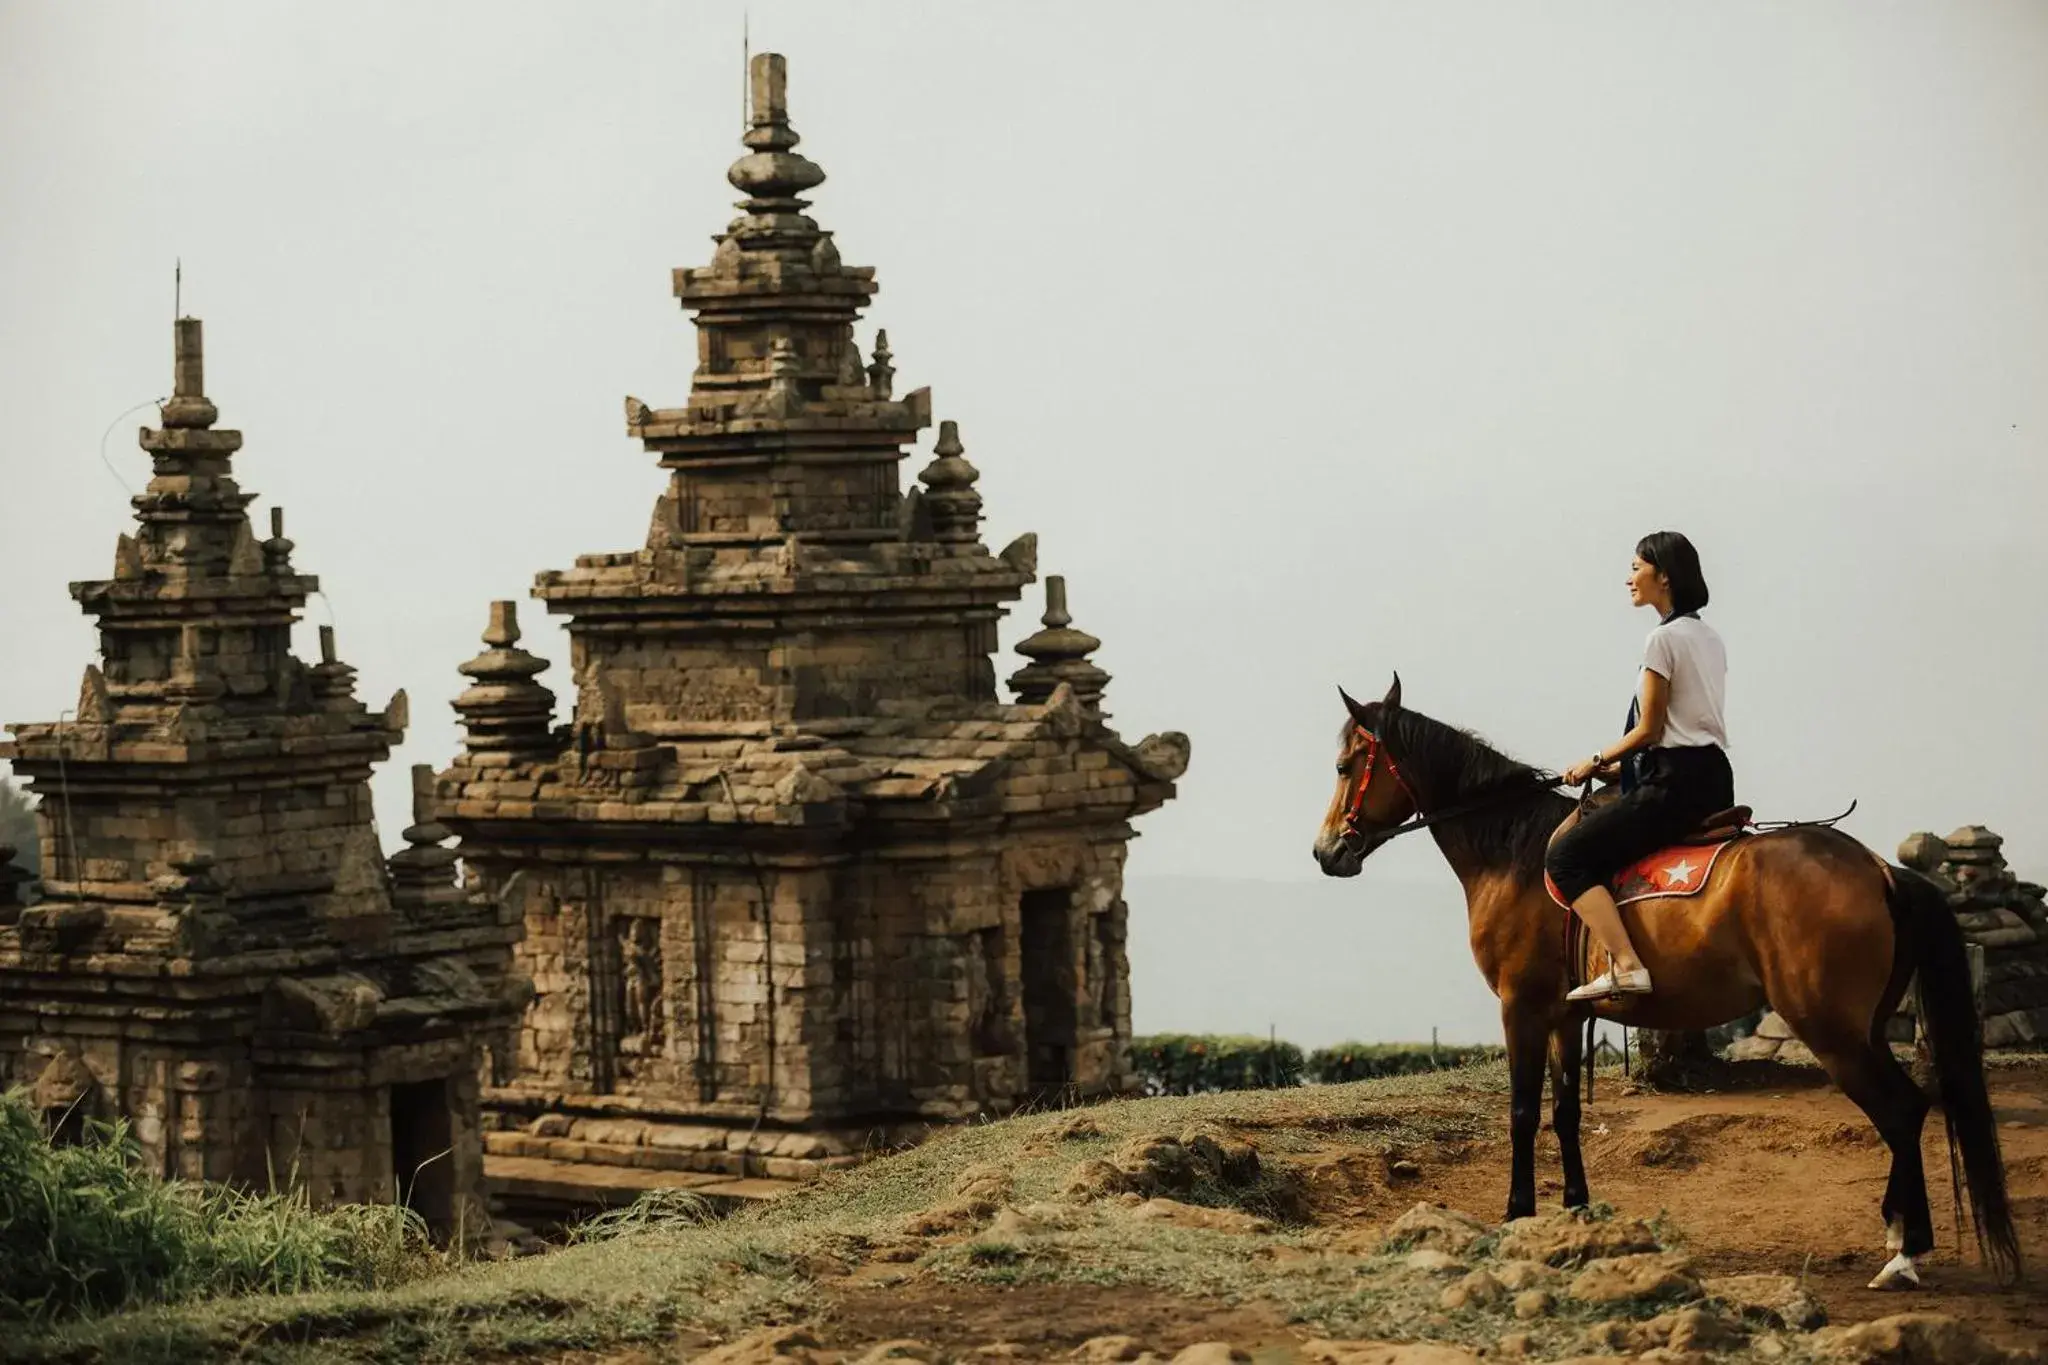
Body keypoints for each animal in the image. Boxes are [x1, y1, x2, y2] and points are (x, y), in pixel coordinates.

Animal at [1310, 679, 2015, 1285]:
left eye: (1345, 767)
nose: (1325, 852)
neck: (1515, 852)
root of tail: (1880, 870)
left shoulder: (1521, 1007)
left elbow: (1521, 1112)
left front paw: (1516, 1214)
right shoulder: (1566, 1015)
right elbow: (1565, 1111)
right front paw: (1576, 1210)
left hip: (1830, 1029)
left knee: (1899, 1111)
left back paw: (1904, 1253)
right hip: (1862, 1027)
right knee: (1911, 1110)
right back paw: (1899, 1235)